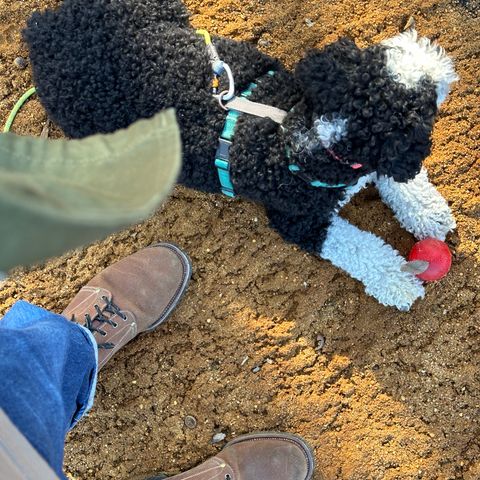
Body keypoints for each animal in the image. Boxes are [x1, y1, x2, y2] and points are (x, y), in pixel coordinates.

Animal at [24, 0, 460, 310]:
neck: (310, 134)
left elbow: (398, 181)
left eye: (379, 55)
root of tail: (44, 27)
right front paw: (398, 280)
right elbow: (360, 248)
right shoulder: (298, 220)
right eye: (423, 96)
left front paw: (429, 213)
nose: (432, 52)